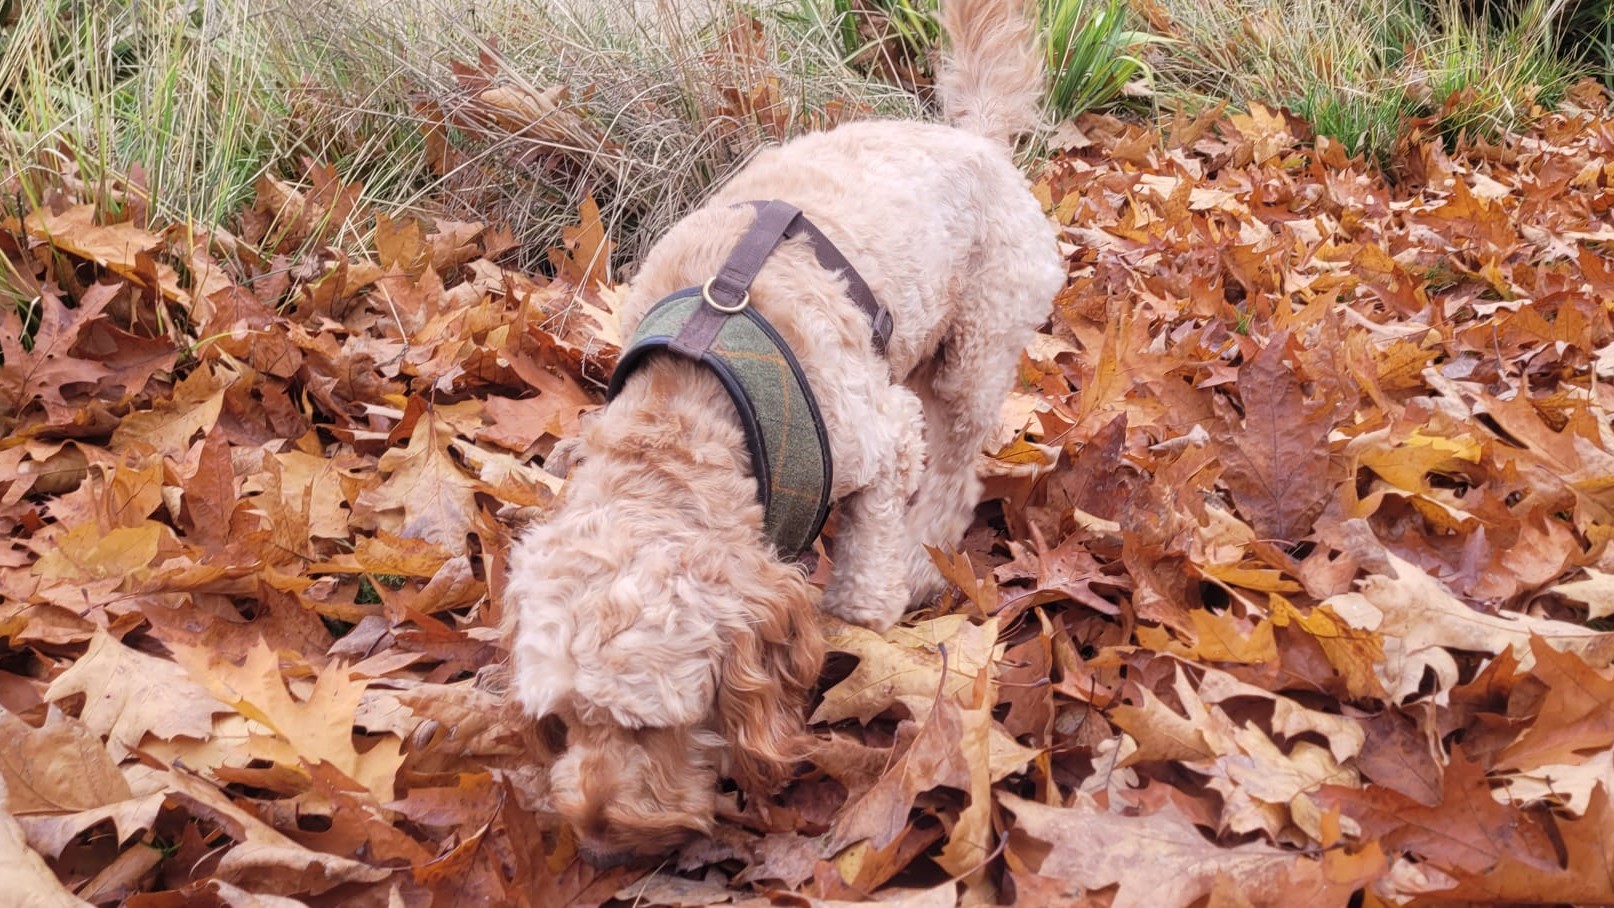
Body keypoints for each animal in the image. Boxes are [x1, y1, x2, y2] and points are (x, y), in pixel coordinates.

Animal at [500, 0, 1058, 864]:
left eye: (648, 725)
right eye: (558, 723)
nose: (598, 844)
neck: (688, 414)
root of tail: (974, 136)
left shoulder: (880, 437)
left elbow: (862, 587)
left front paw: (858, 639)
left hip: (977, 342)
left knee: (958, 460)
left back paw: (926, 553)